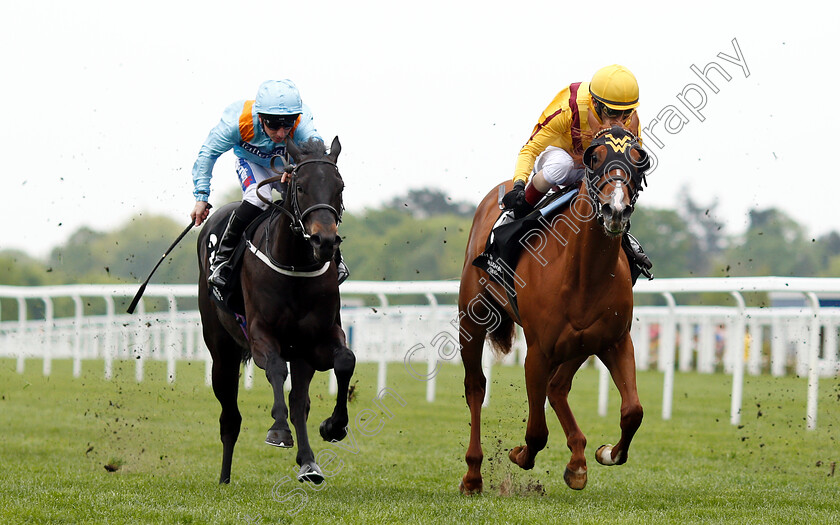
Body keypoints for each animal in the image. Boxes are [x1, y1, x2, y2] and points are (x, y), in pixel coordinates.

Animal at [197, 136, 354, 484]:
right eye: (301, 187)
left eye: (339, 186)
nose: (324, 241)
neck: (295, 264)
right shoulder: (260, 334)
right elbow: (275, 368)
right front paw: (278, 430)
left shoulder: (317, 340)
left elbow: (344, 361)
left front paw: (334, 426)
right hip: (222, 352)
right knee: (230, 416)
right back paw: (224, 478)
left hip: (300, 352)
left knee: (299, 402)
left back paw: (309, 464)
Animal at [460, 126, 648, 492]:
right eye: (595, 158)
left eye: (638, 160)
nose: (616, 210)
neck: (582, 272)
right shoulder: (538, 351)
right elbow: (536, 431)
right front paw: (519, 454)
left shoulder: (615, 341)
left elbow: (633, 410)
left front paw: (606, 452)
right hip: (471, 318)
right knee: (476, 386)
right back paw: (473, 474)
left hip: (581, 344)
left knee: (558, 387)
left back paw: (577, 460)